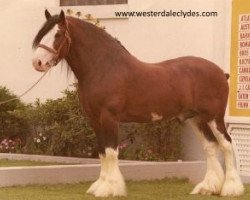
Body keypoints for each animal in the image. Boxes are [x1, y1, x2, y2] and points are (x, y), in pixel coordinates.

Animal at [31, 10, 244, 197]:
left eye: (58, 34)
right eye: (42, 34)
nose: (37, 63)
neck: (103, 68)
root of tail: (221, 72)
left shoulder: (109, 117)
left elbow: (111, 152)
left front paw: (110, 188)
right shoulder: (93, 119)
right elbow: (101, 152)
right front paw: (100, 185)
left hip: (214, 117)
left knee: (226, 145)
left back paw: (231, 188)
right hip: (197, 119)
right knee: (210, 147)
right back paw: (207, 187)